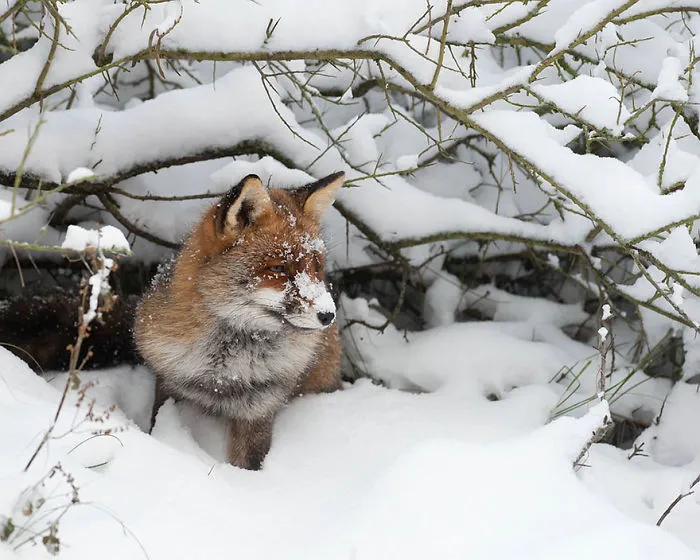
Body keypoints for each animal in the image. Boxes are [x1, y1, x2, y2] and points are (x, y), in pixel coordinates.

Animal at [134, 171, 344, 470]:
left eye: (316, 267)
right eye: (278, 268)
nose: (328, 315)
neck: (224, 374)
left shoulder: (260, 409)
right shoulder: (168, 386)